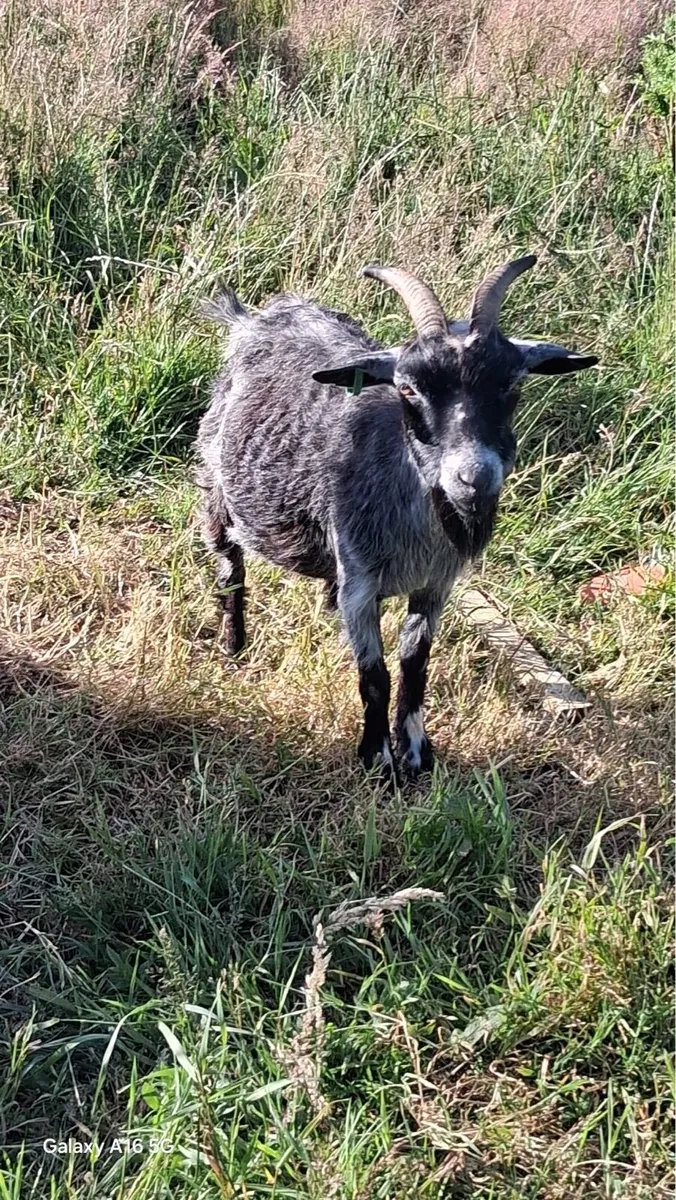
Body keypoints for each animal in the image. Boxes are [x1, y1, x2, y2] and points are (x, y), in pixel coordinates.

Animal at [195, 257, 597, 783]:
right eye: (407, 387)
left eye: (512, 383)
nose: (474, 477)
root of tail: (252, 319)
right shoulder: (361, 582)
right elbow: (374, 674)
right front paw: (377, 758)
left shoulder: (436, 584)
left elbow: (414, 664)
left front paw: (416, 751)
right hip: (214, 488)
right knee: (231, 570)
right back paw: (234, 647)